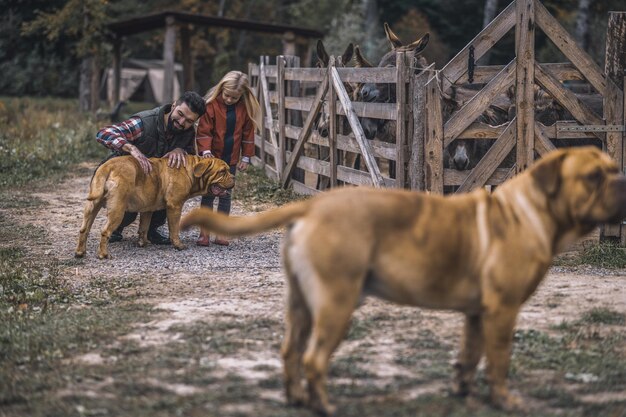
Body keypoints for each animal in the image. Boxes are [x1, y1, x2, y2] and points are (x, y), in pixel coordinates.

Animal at [75, 154, 234, 258]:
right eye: (222, 171)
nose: (233, 177)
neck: (192, 170)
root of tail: (108, 166)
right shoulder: (175, 206)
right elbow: (174, 229)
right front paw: (178, 245)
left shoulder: (147, 209)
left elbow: (144, 228)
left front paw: (143, 243)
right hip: (117, 210)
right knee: (105, 231)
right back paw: (103, 254)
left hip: (92, 206)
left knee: (84, 229)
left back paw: (80, 252)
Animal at [179, 147, 624, 412]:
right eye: (593, 177)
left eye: (614, 170)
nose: (623, 183)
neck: (532, 212)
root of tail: (312, 206)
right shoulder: (503, 310)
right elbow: (498, 360)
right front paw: (504, 400)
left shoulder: (477, 313)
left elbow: (470, 355)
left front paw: (463, 391)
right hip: (337, 303)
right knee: (313, 358)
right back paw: (324, 405)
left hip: (301, 305)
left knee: (291, 351)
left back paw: (297, 399)